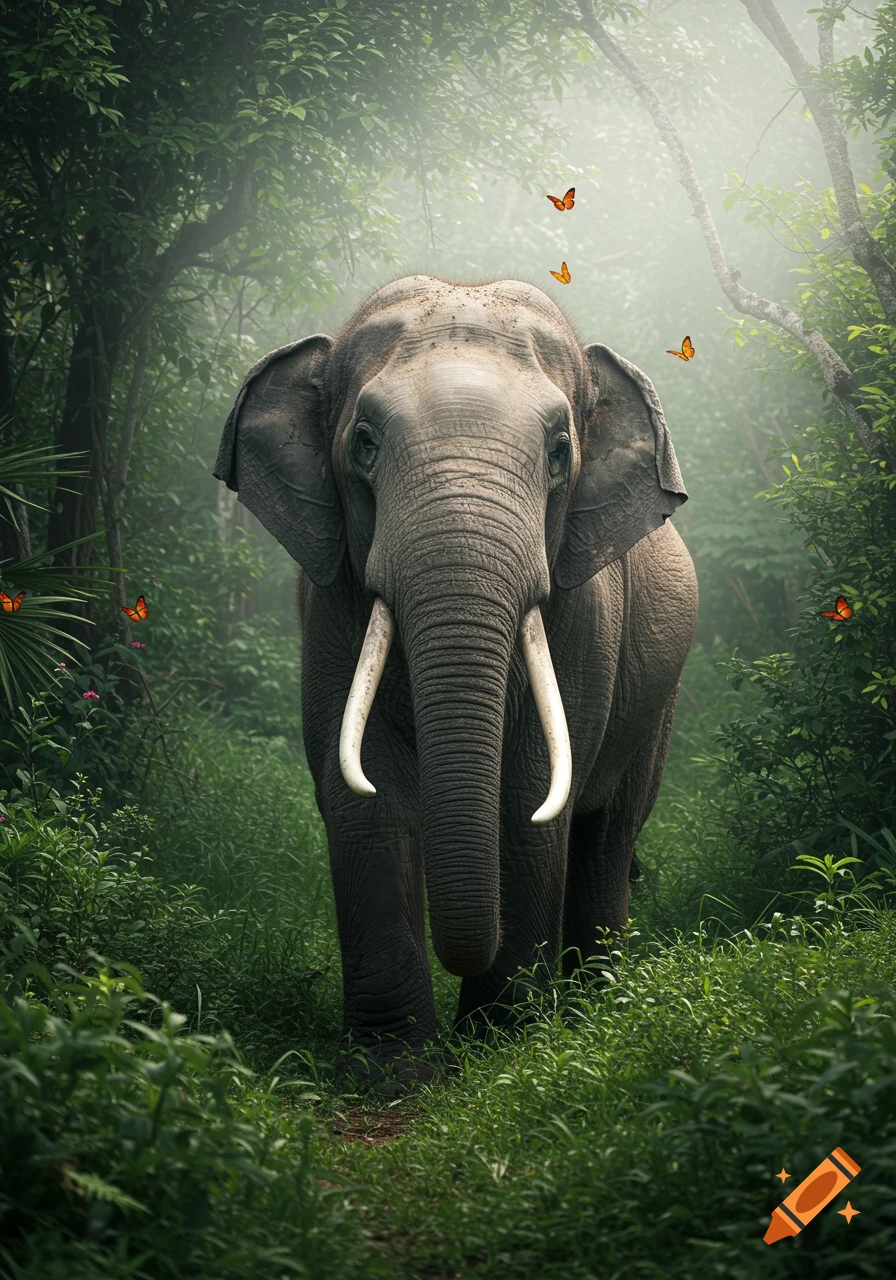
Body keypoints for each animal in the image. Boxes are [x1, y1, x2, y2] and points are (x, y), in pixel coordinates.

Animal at [214, 275, 698, 1082]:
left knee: (607, 838)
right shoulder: (329, 603)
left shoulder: (586, 615)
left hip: (659, 699)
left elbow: (532, 800)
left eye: (560, 451)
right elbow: (366, 795)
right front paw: (390, 1070)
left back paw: (594, 1008)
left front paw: (504, 1051)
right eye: (364, 443)